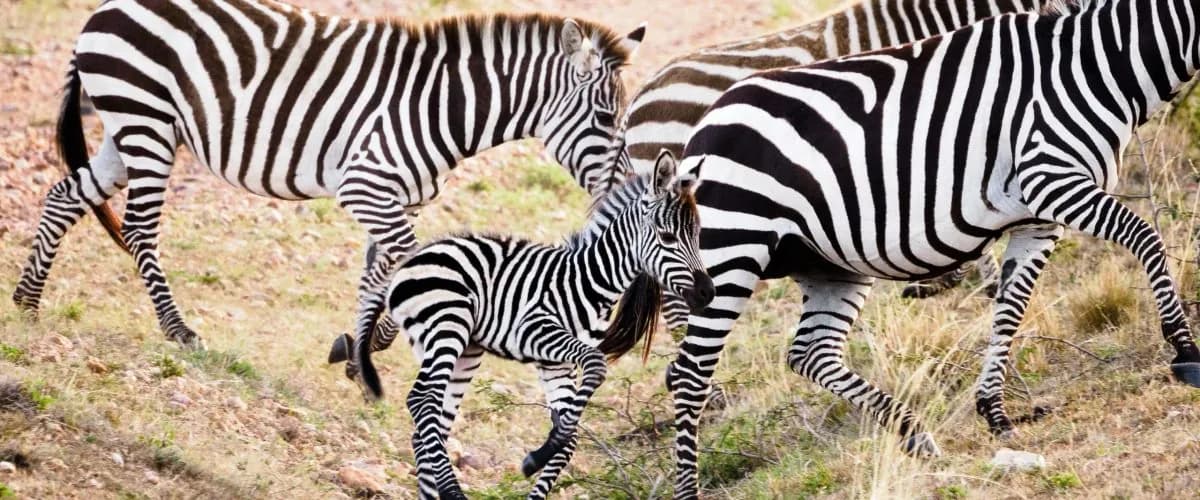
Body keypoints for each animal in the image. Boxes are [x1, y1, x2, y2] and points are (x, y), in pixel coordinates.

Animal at [11, 0, 646, 356]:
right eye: (606, 117)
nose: (624, 192)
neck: (440, 105)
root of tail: (105, 8)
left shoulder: (396, 198)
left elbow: (379, 271)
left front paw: (358, 347)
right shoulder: (365, 189)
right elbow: (404, 262)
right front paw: (378, 341)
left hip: (128, 127)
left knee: (65, 195)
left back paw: (26, 303)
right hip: (146, 121)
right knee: (141, 228)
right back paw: (180, 331)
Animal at [350, 151, 713, 500]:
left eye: (697, 235)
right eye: (667, 237)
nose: (707, 293)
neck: (589, 280)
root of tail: (413, 258)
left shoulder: (554, 364)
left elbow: (568, 436)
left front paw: (541, 456)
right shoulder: (535, 332)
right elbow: (596, 366)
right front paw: (535, 457)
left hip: (465, 350)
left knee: (430, 423)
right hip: (446, 327)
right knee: (421, 401)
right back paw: (453, 492)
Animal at [662, 0, 1200, 496]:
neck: (1101, 64)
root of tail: (704, 124)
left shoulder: (1038, 218)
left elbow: (1010, 308)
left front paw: (994, 412)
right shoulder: (1052, 181)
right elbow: (1146, 237)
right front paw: (1184, 349)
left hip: (827, 263)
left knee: (810, 353)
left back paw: (914, 434)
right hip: (733, 251)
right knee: (688, 373)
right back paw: (688, 489)